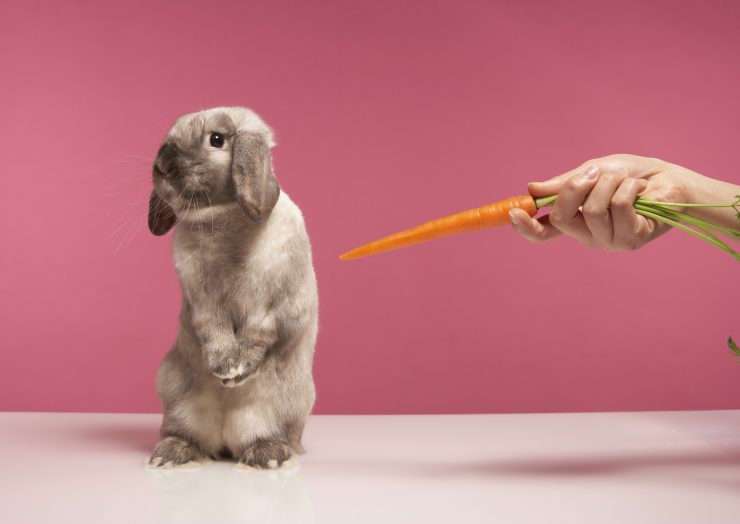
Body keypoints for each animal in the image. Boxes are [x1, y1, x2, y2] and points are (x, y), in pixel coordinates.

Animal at [146, 107, 316, 470]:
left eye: (217, 139)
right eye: (167, 139)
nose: (163, 164)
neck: (222, 219)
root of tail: (225, 441)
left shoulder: (280, 305)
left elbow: (260, 333)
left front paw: (235, 372)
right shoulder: (201, 301)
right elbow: (213, 328)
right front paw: (224, 365)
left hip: (282, 408)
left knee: (268, 436)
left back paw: (268, 455)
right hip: (175, 397)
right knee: (187, 436)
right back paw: (170, 454)